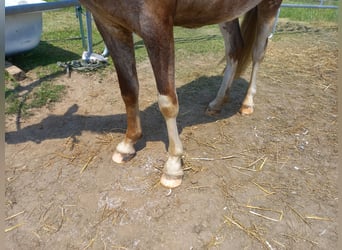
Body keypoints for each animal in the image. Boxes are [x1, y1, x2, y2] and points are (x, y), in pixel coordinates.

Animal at [79, 0, 282, 188]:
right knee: (235, 49)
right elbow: (128, 90)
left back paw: (247, 103)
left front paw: (173, 166)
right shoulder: (108, 23)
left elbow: (167, 102)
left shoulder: (156, 25)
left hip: (269, 5)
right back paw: (217, 102)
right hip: (226, 12)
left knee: (258, 52)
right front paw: (127, 144)